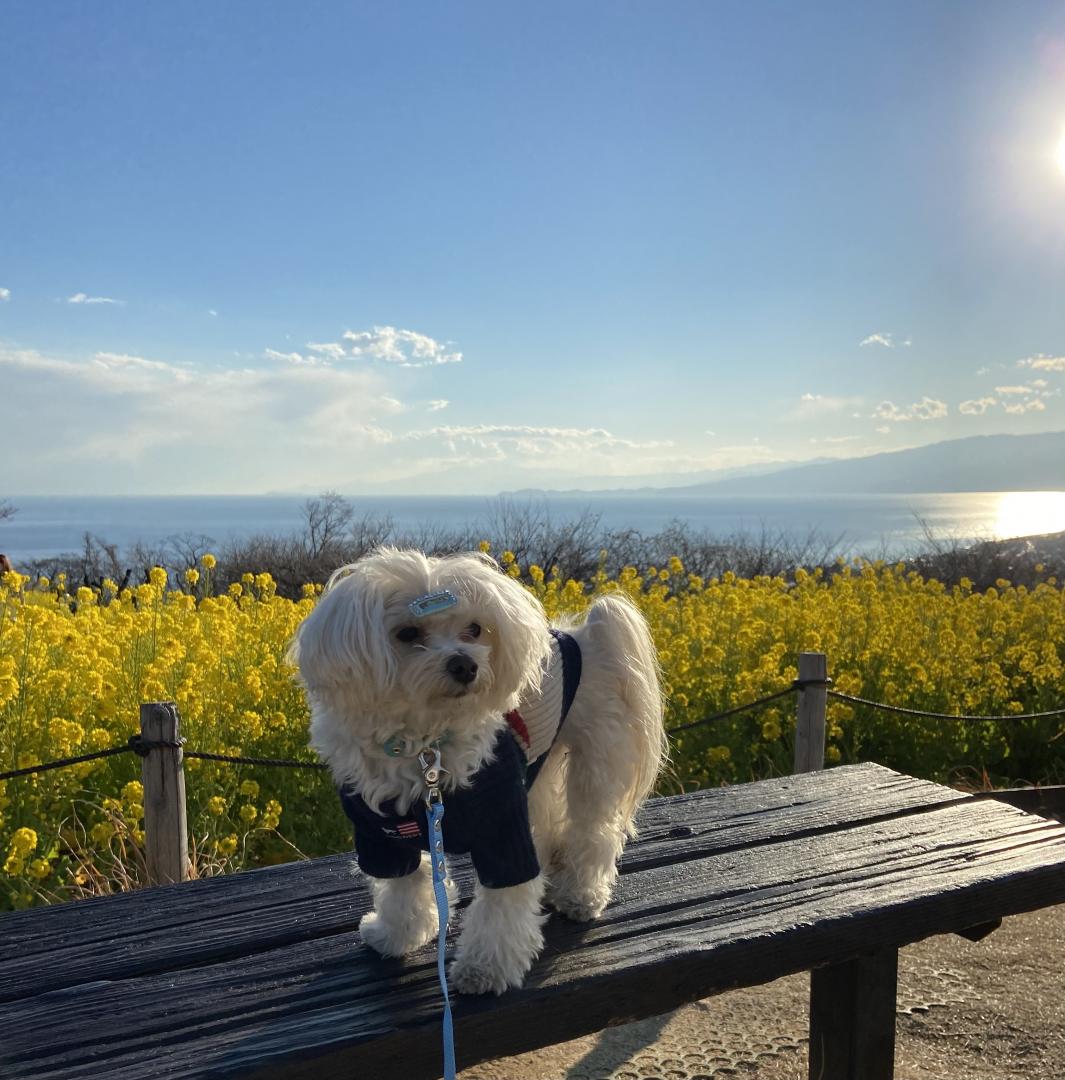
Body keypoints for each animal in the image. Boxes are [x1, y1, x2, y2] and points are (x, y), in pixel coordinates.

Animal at [291, 548, 665, 993]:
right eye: (407, 633)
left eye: (474, 629)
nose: (464, 665)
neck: (425, 745)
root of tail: (583, 633)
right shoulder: (381, 835)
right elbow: (403, 887)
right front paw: (395, 935)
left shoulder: (502, 827)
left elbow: (503, 904)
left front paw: (485, 970)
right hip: (538, 767)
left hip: (597, 756)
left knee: (593, 831)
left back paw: (580, 895)